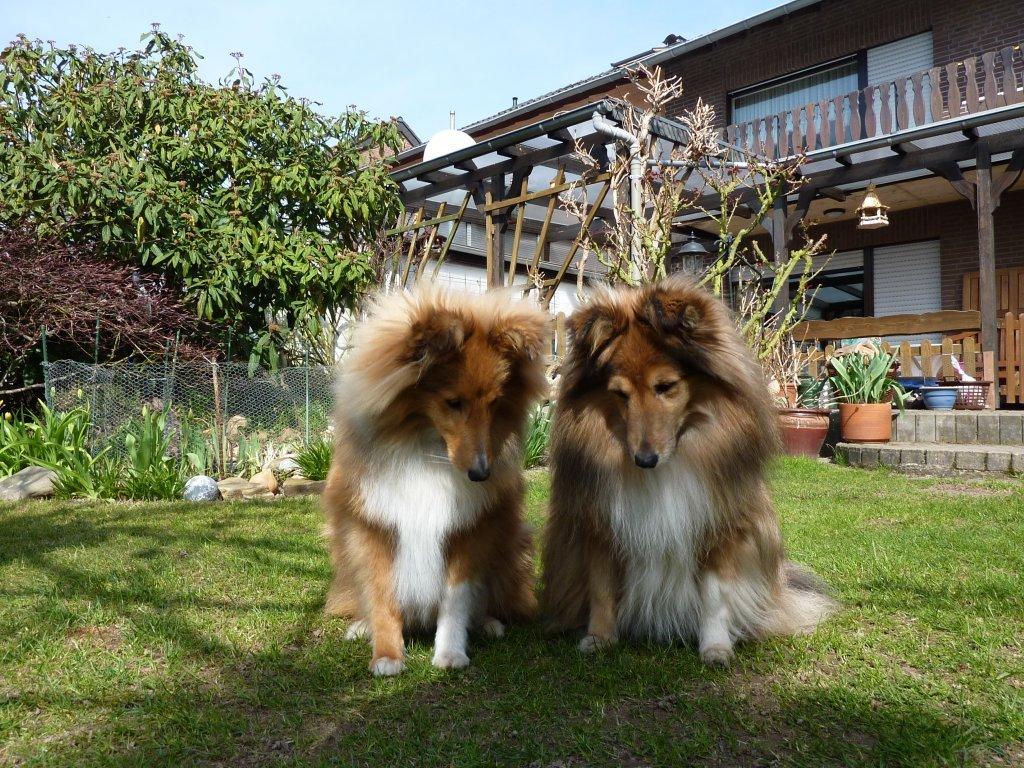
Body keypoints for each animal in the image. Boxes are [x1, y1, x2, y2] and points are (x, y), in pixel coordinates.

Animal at [323, 286, 550, 676]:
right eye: (453, 402)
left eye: (495, 403)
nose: (481, 473)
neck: (427, 447)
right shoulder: (374, 528)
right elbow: (382, 595)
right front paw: (387, 655)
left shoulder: (468, 530)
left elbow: (456, 599)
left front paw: (450, 653)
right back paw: (361, 626)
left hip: (514, 545)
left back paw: (488, 623)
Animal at [542, 275, 834, 664]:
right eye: (619, 394)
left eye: (665, 386)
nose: (644, 459)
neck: (668, 464)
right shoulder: (599, 525)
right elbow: (601, 589)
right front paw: (599, 638)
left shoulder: (718, 525)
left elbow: (715, 595)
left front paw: (715, 647)